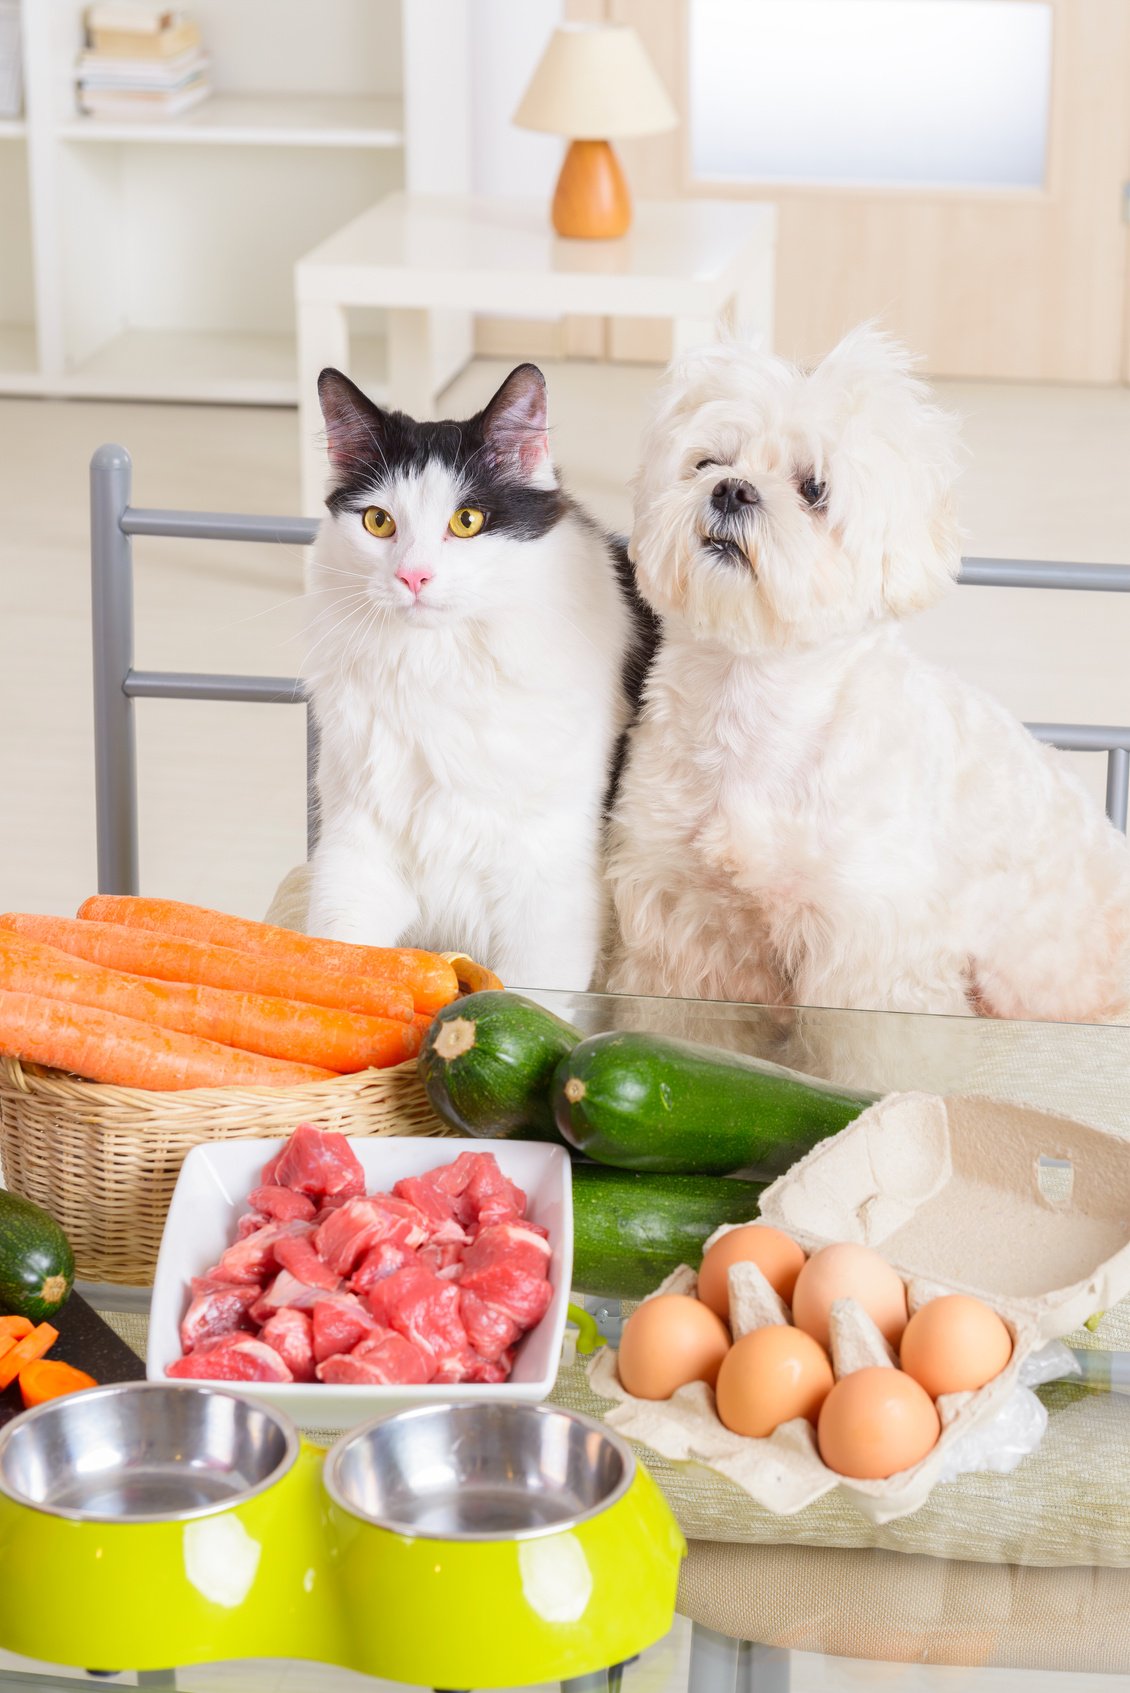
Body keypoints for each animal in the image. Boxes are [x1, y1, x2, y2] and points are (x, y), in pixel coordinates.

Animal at [304, 363, 657, 988]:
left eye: (466, 521)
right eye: (378, 521)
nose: (414, 577)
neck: (439, 671)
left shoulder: (548, 891)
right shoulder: (353, 854)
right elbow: (342, 957)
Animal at [609, 326, 1130, 1015]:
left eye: (814, 488)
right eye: (707, 463)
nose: (732, 490)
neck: (754, 705)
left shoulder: (871, 944)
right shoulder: (689, 924)